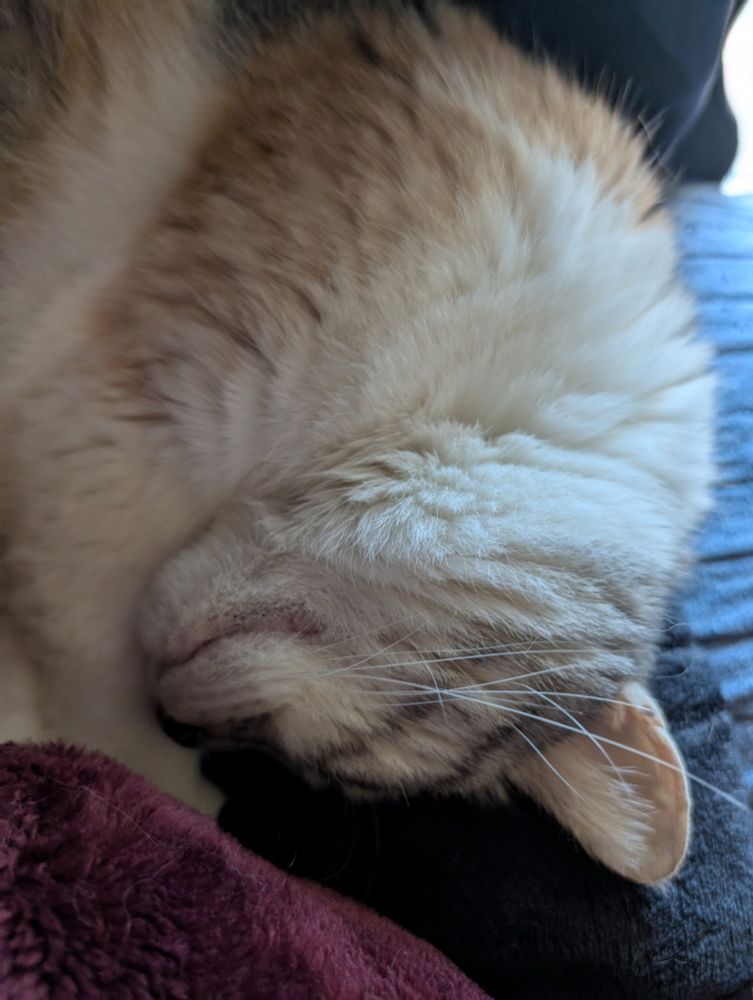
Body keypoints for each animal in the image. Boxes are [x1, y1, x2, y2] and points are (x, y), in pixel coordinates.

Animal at [0, 0, 714, 885]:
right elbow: (93, 664)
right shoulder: (109, 425)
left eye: (311, 765)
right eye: (395, 728)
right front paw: (161, 780)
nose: (180, 725)